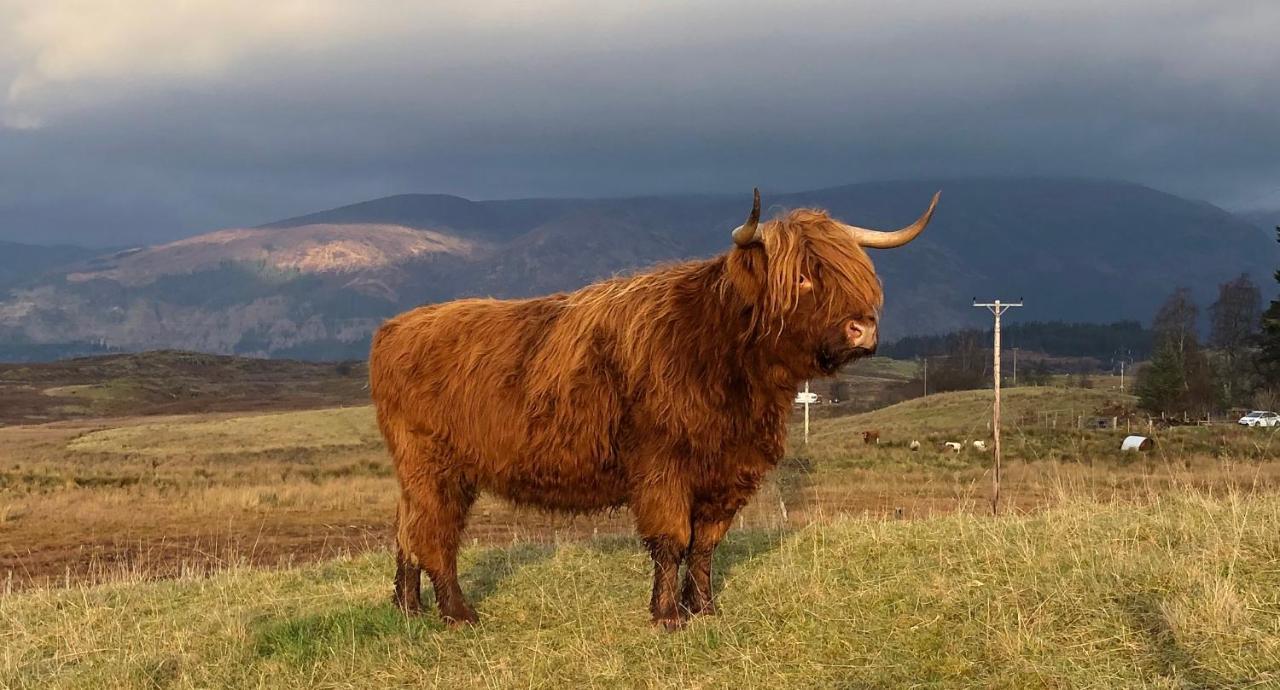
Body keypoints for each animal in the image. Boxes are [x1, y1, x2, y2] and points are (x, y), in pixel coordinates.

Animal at [371, 189, 942, 632]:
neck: (724, 354)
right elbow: (672, 540)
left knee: (405, 529)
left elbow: (706, 545)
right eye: (802, 278)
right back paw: (457, 613)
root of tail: (394, 328)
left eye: (860, 273)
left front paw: (705, 609)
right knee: (433, 533)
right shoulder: (662, 466)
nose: (862, 329)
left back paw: (407, 607)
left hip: (418, 473)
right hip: (435, 467)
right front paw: (667, 616)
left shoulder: (730, 471)